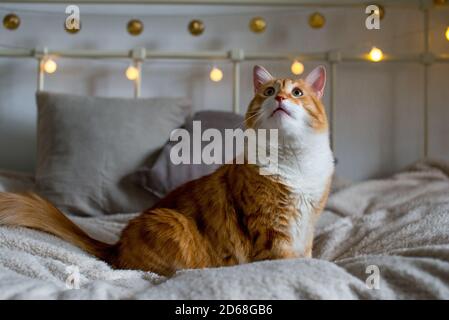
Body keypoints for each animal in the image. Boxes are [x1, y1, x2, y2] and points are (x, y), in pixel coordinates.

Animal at [0, 64, 332, 276]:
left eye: (298, 93)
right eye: (269, 91)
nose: (280, 98)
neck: (292, 158)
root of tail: (116, 246)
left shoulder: (307, 226)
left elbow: (308, 255)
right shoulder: (271, 227)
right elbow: (285, 261)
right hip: (172, 223)